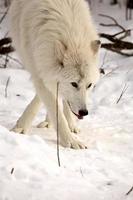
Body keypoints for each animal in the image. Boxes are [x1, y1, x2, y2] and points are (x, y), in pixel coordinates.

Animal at [9, 0, 100, 148]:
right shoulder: (38, 68)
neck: (72, 36)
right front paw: (71, 141)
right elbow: (54, 109)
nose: (84, 112)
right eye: (74, 84)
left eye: (89, 85)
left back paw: (69, 124)